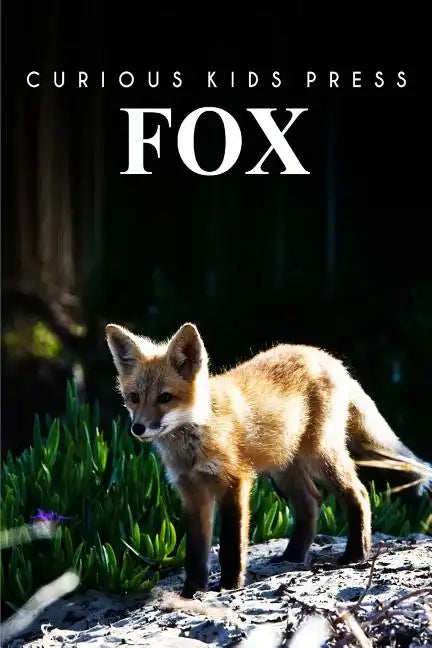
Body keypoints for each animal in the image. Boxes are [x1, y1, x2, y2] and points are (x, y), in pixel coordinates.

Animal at [105, 321, 431, 598]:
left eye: (165, 398)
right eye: (134, 397)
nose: (138, 428)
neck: (197, 438)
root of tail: (324, 356)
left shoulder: (235, 483)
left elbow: (231, 546)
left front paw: (229, 587)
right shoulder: (191, 493)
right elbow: (195, 555)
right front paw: (191, 594)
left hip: (321, 456)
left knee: (359, 493)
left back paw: (355, 555)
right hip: (285, 469)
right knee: (311, 502)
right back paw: (292, 557)